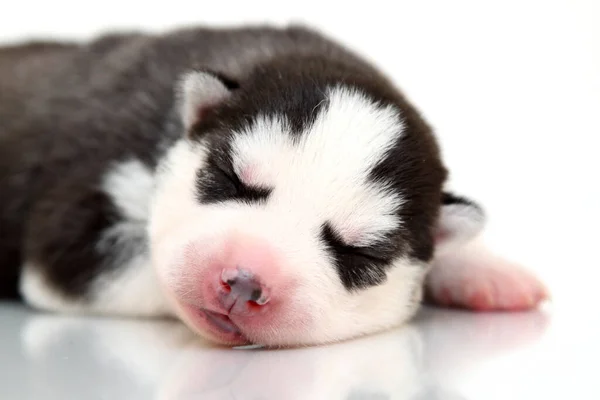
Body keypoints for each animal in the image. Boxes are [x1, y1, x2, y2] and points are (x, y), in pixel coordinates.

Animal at [0, 23, 548, 346]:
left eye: (360, 253)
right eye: (229, 177)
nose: (243, 283)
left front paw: (481, 268)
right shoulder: (74, 223)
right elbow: (151, 264)